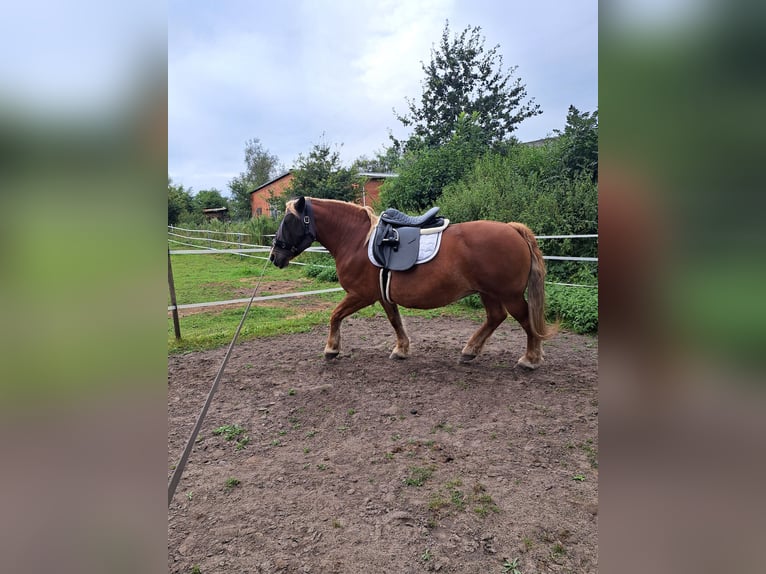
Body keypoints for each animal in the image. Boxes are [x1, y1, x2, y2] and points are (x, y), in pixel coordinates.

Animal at [272, 197, 560, 368]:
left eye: (288, 221)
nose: (275, 256)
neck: (356, 240)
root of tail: (513, 229)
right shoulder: (382, 295)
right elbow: (395, 321)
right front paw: (401, 350)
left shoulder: (361, 295)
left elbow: (335, 315)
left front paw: (331, 349)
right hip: (488, 292)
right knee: (495, 317)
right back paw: (470, 350)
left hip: (508, 294)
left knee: (525, 320)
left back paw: (530, 359)